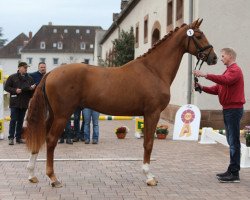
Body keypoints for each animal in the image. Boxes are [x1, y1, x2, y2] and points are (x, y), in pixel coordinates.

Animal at [24, 19, 217, 188]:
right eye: (199, 35)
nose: (214, 58)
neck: (154, 70)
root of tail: (51, 73)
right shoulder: (152, 113)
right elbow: (148, 143)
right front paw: (149, 176)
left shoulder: (147, 114)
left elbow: (146, 142)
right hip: (62, 115)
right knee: (50, 140)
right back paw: (53, 178)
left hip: (53, 115)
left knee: (42, 137)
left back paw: (32, 174)